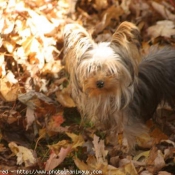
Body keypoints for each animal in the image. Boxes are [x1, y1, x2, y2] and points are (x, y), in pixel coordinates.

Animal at [63, 21, 175, 150]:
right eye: (91, 69)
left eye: (112, 70)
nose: (100, 83)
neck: (106, 95)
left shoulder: (128, 121)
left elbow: (128, 134)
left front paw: (126, 149)